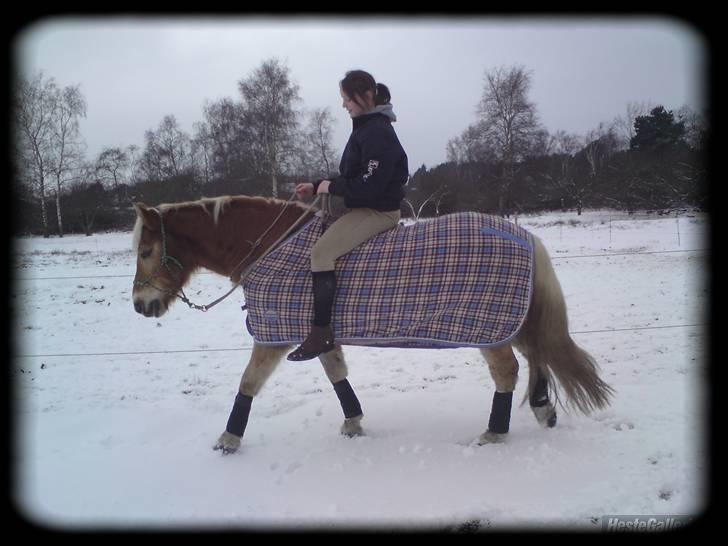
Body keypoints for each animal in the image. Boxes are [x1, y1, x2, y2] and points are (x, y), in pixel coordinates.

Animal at [132, 193, 616, 452]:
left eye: (146, 251)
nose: (140, 305)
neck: (271, 246)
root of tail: (525, 236)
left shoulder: (272, 336)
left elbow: (248, 383)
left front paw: (228, 440)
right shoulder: (318, 336)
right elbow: (336, 374)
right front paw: (353, 423)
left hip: (489, 327)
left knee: (509, 371)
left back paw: (495, 433)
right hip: (507, 322)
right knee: (536, 357)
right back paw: (543, 409)